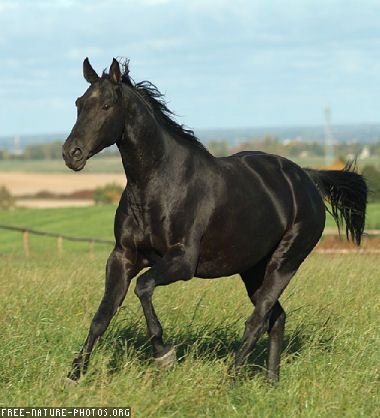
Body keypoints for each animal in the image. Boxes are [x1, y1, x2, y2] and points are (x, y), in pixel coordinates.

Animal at [63, 58, 368, 382]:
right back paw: (271, 381)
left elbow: (143, 287)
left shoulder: (182, 261)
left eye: (106, 105)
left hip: (284, 264)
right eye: (79, 103)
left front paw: (164, 354)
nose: (71, 153)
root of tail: (308, 179)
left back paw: (229, 380)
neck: (158, 184)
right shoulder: (122, 257)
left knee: (258, 320)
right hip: (253, 269)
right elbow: (102, 315)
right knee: (276, 317)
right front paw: (75, 374)